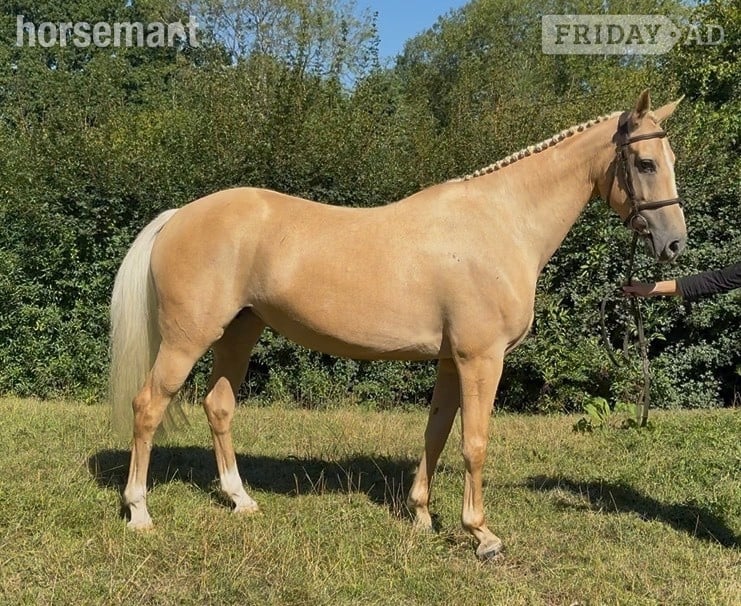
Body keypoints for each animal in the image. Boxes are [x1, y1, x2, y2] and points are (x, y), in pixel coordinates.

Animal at [110, 90, 686, 560]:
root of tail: (180, 215)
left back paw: (240, 499)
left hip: (240, 331)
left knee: (219, 406)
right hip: (187, 339)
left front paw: (422, 516)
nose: (674, 243)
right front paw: (481, 535)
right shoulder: (481, 359)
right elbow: (474, 442)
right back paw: (139, 513)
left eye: (671, 160)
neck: (501, 224)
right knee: (148, 406)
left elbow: (436, 433)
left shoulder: (452, 361)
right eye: (645, 162)